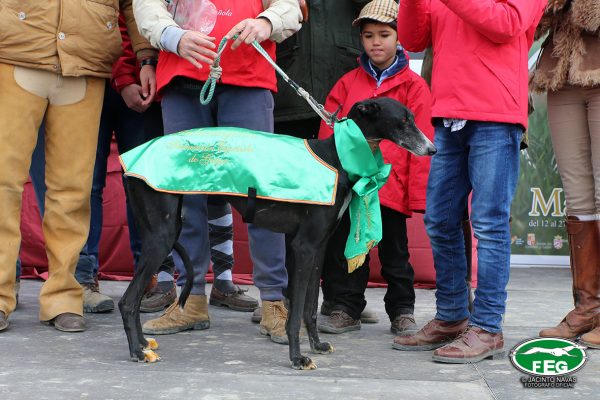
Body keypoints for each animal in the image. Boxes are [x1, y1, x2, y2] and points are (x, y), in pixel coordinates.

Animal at [118, 97, 436, 370]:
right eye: (404, 121)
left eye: (412, 118)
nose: (432, 150)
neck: (337, 157)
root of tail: (128, 162)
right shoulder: (303, 247)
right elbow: (295, 313)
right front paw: (298, 358)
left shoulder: (319, 247)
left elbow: (310, 307)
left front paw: (317, 345)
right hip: (161, 235)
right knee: (128, 301)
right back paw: (137, 351)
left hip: (167, 228)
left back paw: (144, 344)